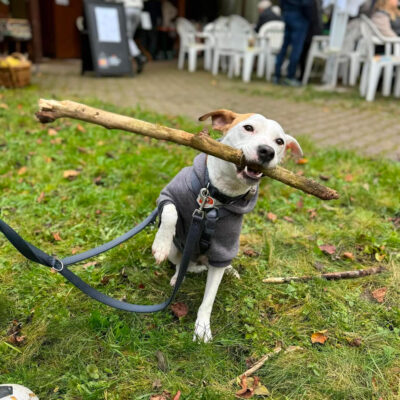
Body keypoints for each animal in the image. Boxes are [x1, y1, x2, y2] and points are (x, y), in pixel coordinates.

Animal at [152, 108, 302, 340]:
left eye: (279, 142)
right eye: (248, 127)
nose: (267, 151)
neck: (217, 196)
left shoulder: (223, 247)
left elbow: (209, 298)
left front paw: (202, 328)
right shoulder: (168, 195)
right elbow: (170, 211)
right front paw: (160, 244)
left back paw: (226, 270)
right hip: (178, 251)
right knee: (181, 263)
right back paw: (180, 274)